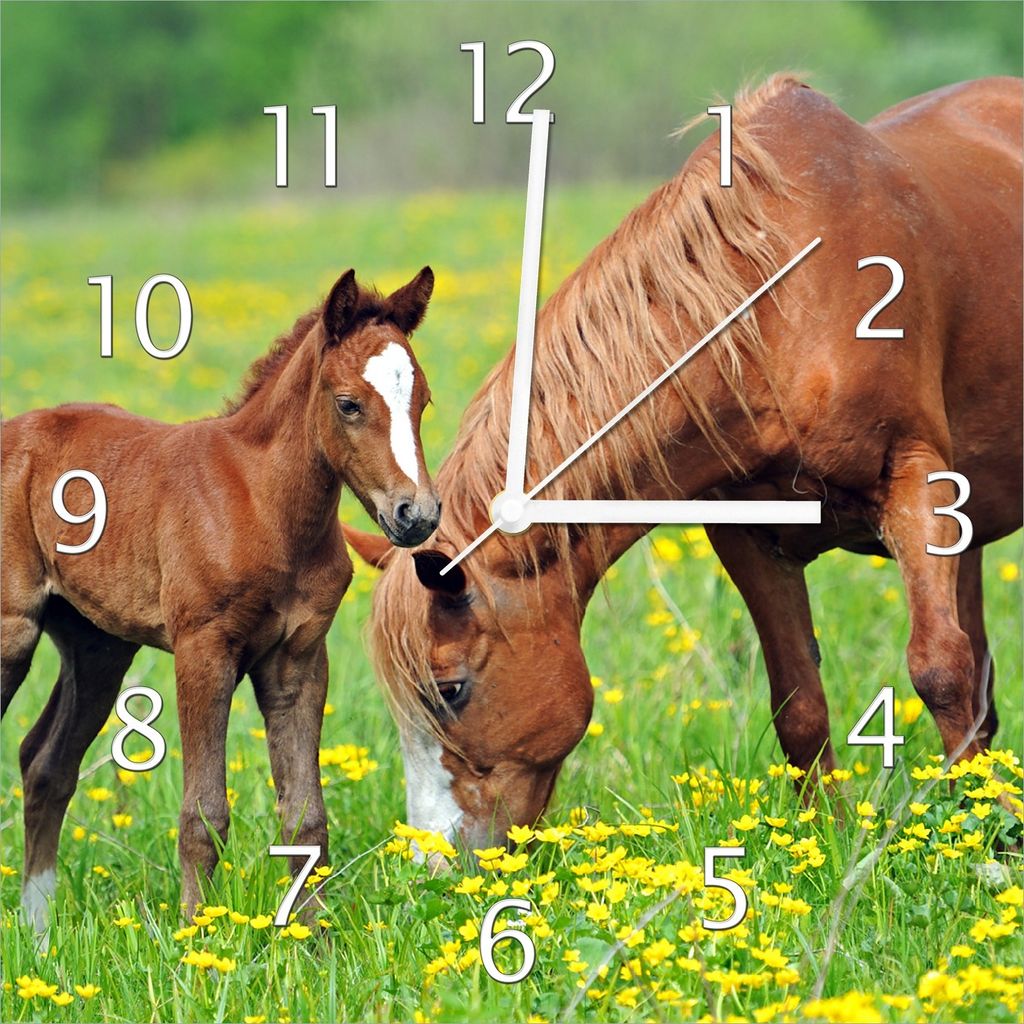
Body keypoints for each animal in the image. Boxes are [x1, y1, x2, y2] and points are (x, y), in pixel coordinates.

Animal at [1, 266, 441, 927]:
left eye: (423, 401)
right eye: (348, 404)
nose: (417, 515)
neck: (262, 504)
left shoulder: (298, 660)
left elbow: (306, 817)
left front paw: (311, 936)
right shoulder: (203, 649)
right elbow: (202, 814)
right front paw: (195, 934)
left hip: (98, 648)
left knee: (46, 763)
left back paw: (38, 929)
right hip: (13, 633)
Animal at [346, 75, 1022, 856]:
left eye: (450, 689)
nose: (435, 862)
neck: (777, 308)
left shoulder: (912, 480)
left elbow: (940, 668)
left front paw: (988, 836)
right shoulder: (748, 536)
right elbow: (799, 704)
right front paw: (820, 843)